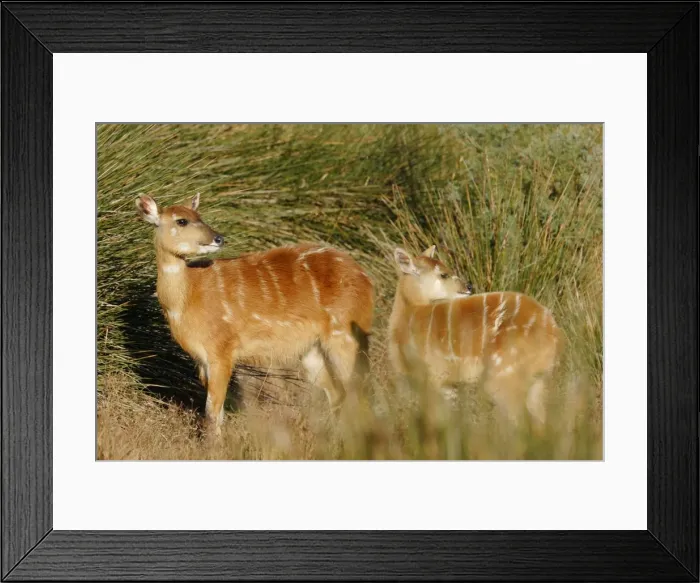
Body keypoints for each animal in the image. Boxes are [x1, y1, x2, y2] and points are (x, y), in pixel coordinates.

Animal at [135, 193, 374, 436]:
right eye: (182, 220)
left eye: (199, 216)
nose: (219, 238)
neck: (189, 298)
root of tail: (366, 279)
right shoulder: (202, 360)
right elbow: (217, 413)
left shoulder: (222, 350)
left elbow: (212, 412)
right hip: (311, 350)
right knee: (337, 393)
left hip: (346, 336)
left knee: (360, 390)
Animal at [388, 245, 564, 431]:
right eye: (443, 274)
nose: (469, 286)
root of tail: (555, 333)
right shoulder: (447, 384)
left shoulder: (432, 374)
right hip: (538, 379)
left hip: (504, 375)